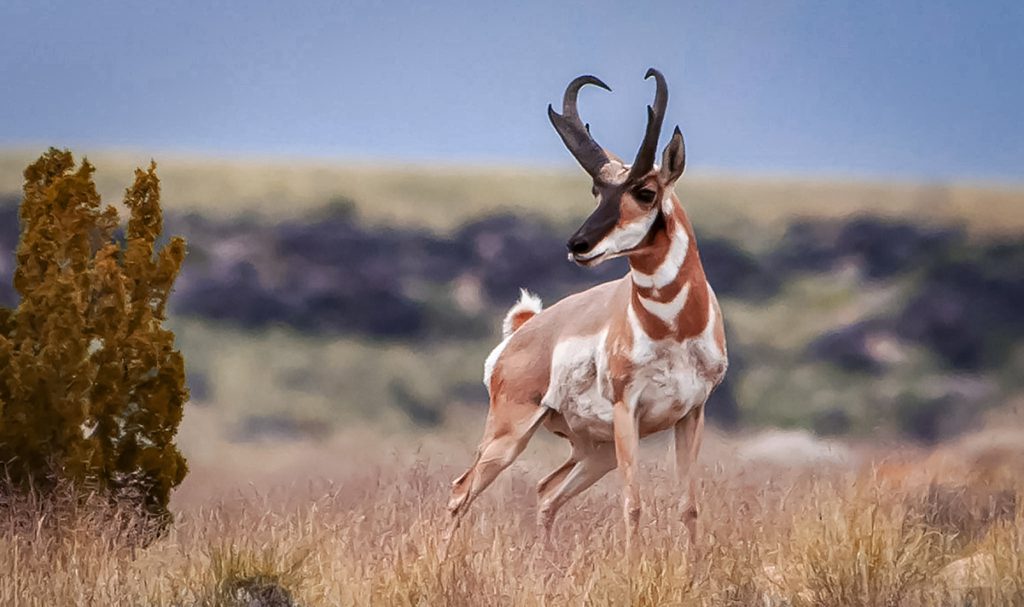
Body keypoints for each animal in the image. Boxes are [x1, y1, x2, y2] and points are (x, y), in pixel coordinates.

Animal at [444, 69, 724, 548]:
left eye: (645, 192)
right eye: (597, 190)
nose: (578, 245)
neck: (673, 329)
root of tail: (525, 330)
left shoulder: (691, 415)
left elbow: (689, 508)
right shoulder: (628, 412)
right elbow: (633, 505)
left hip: (596, 452)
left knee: (545, 492)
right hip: (511, 435)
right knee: (461, 491)